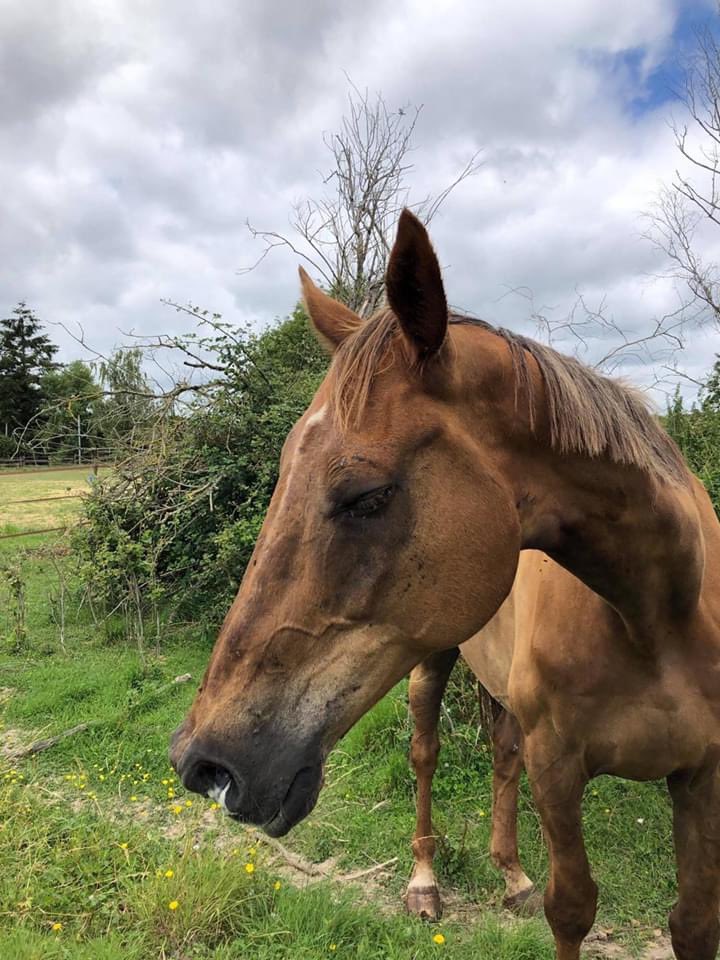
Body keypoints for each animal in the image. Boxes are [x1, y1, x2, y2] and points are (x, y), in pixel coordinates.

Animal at [171, 210, 720, 960]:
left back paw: (511, 875)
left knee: (501, 757)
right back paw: (425, 882)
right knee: (425, 756)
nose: (202, 762)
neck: (653, 616)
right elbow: (572, 907)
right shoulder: (559, 770)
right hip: (431, 664)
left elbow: (692, 921)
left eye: (365, 495)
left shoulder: (702, 775)